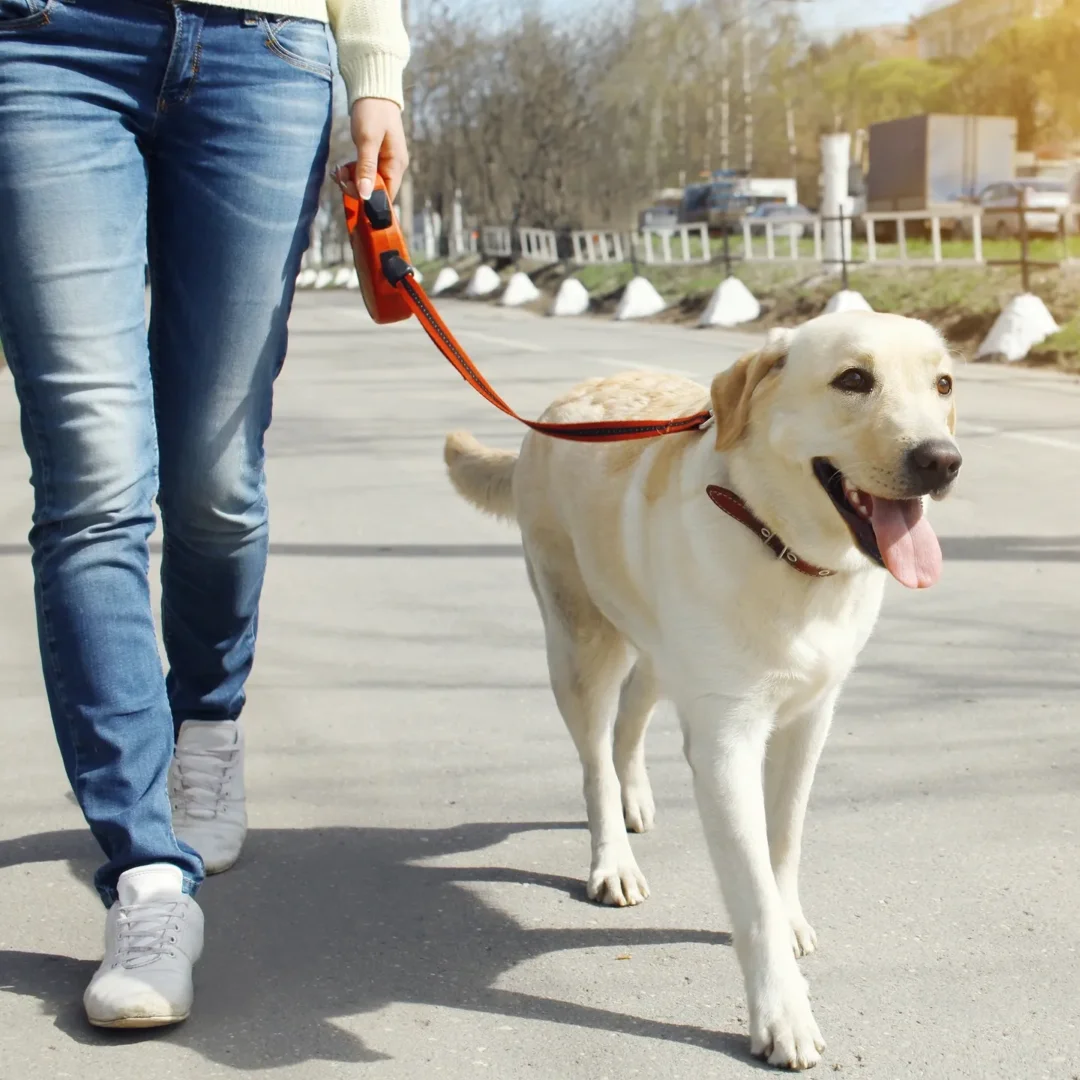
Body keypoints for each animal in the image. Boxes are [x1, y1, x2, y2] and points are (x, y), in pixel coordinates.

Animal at [438, 313, 963, 1071]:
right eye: (853, 379)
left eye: (943, 383)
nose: (941, 461)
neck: (783, 548)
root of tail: (561, 406)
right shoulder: (725, 742)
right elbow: (751, 890)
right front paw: (783, 1013)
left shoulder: (809, 720)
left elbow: (784, 841)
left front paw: (790, 915)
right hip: (580, 643)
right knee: (595, 758)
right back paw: (612, 858)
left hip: (658, 646)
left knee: (631, 717)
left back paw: (635, 797)